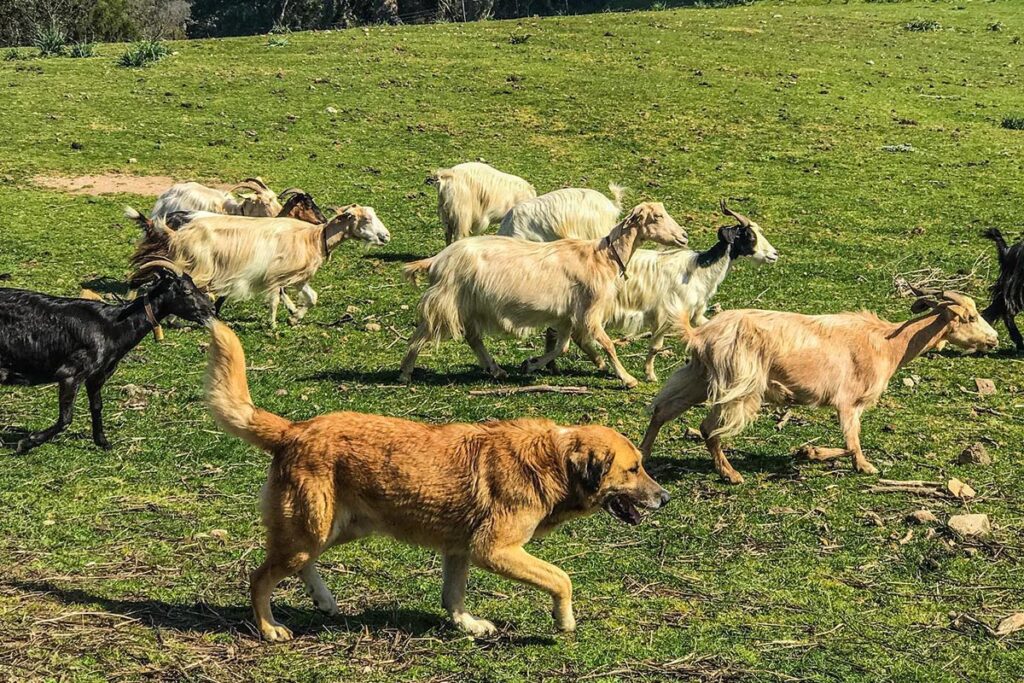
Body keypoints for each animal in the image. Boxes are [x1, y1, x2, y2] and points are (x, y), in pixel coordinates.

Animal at [0, 265, 214, 454]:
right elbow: (66, 418)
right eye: (186, 290)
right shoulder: (71, 373)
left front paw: (102, 442)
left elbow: (96, 406)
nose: (211, 310)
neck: (112, 326)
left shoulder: (97, 375)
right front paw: (26, 443)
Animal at [127, 205, 390, 328]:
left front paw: (295, 318)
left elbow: (312, 297)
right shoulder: (276, 276)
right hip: (197, 268)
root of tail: (177, 234)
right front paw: (273, 325)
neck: (313, 238)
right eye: (366, 219)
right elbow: (274, 300)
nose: (386, 236)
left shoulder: (298, 278)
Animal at [399, 203, 688, 388]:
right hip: (447, 300)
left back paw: (496, 370)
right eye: (656, 217)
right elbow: (607, 345)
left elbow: (562, 347)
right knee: (422, 334)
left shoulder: (568, 314)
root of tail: (437, 260)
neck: (603, 257)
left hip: (470, 305)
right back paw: (405, 372)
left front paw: (531, 365)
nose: (684, 236)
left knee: (473, 338)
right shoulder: (589, 311)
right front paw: (627, 378)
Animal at [606, 201, 778, 381]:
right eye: (750, 236)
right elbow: (655, 347)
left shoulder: (696, 313)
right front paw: (650, 375)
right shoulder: (667, 316)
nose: (774, 254)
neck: (698, 270)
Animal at [639, 289, 998, 484]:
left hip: (699, 376)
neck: (886, 343)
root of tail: (700, 334)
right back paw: (730, 474)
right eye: (969, 317)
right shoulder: (849, 401)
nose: (994, 339)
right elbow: (852, 443)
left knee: (662, 409)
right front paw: (849, 462)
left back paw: (642, 455)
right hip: (738, 385)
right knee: (708, 427)